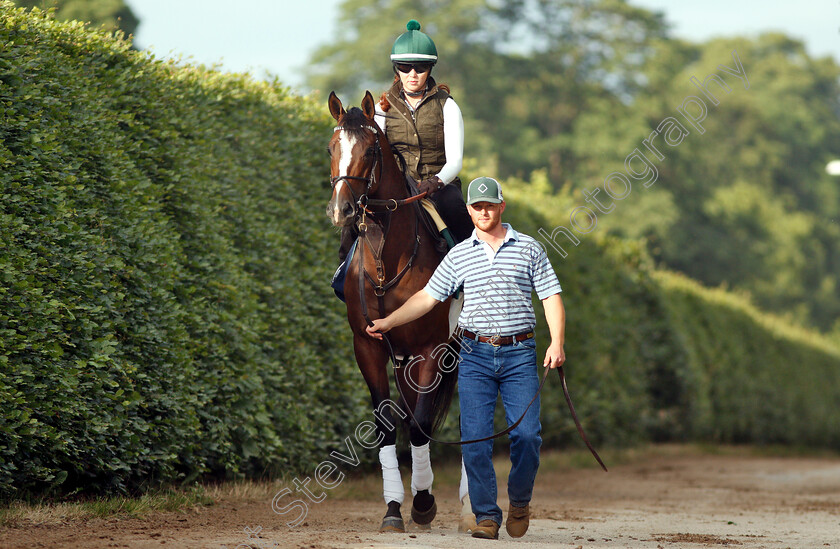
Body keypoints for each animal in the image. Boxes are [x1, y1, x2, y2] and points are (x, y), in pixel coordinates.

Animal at [324, 91, 462, 532]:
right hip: (401, 360)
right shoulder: (368, 346)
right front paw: (393, 508)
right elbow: (387, 426)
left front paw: (423, 503)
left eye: (370, 150)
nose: (343, 211)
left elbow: (418, 425)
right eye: (331, 148)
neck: (388, 258)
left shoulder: (429, 349)